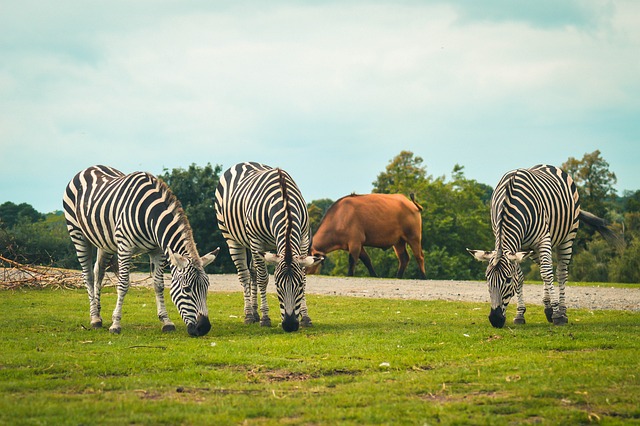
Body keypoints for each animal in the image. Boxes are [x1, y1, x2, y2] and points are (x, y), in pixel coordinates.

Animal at [63, 165, 218, 334]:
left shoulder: (157, 251)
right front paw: (116, 324)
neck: (150, 216)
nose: (204, 328)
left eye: (206, 288)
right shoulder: (125, 247)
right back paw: (94, 318)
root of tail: (91, 167)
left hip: (105, 242)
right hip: (78, 234)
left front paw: (166, 321)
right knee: (88, 275)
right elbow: (123, 284)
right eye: (187, 289)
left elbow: (158, 285)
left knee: (99, 272)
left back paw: (98, 313)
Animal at [215, 161, 322, 332]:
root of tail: (243, 163)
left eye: (298, 285)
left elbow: (305, 277)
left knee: (252, 271)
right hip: (233, 238)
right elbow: (263, 279)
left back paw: (254, 312)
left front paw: (305, 317)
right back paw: (249, 315)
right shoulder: (257, 240)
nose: (290, 325)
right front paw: (265, 318)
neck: (284, 201)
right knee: (245, 274)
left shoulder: (304, 239)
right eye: (277, 286)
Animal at [468, 165, 624, 328]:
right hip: (533, 248)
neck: (510, 201)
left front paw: (557, 315)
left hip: (567, 236)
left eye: (508, 280)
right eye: (487, 279)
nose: (495, 319)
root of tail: (547, 166)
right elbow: (523, 277)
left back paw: (561, 310)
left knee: (559, 272)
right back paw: (548, 308)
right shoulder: (518, 246)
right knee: (544, 269)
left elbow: (548, 273)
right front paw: (520, 314)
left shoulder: (543, 238)